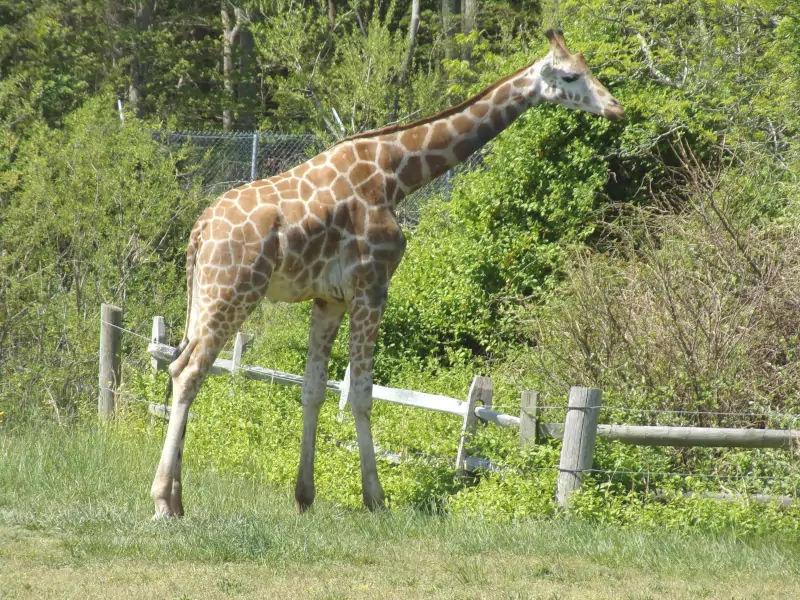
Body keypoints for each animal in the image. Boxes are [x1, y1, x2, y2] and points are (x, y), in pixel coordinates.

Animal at [150, 28, 624, 516]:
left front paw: (304, 497)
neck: (397, 174)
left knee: (180, 364)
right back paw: (163, 501)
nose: (616, 108)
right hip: (234, 290)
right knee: (188, 371)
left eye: (589, 69)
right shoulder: (372, 284)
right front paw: (375, 499)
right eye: (570, 76)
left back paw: (179, 499)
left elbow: (314, 389)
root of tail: (199, 231)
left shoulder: (329, 298)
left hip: (207, 293)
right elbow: (361, 394)